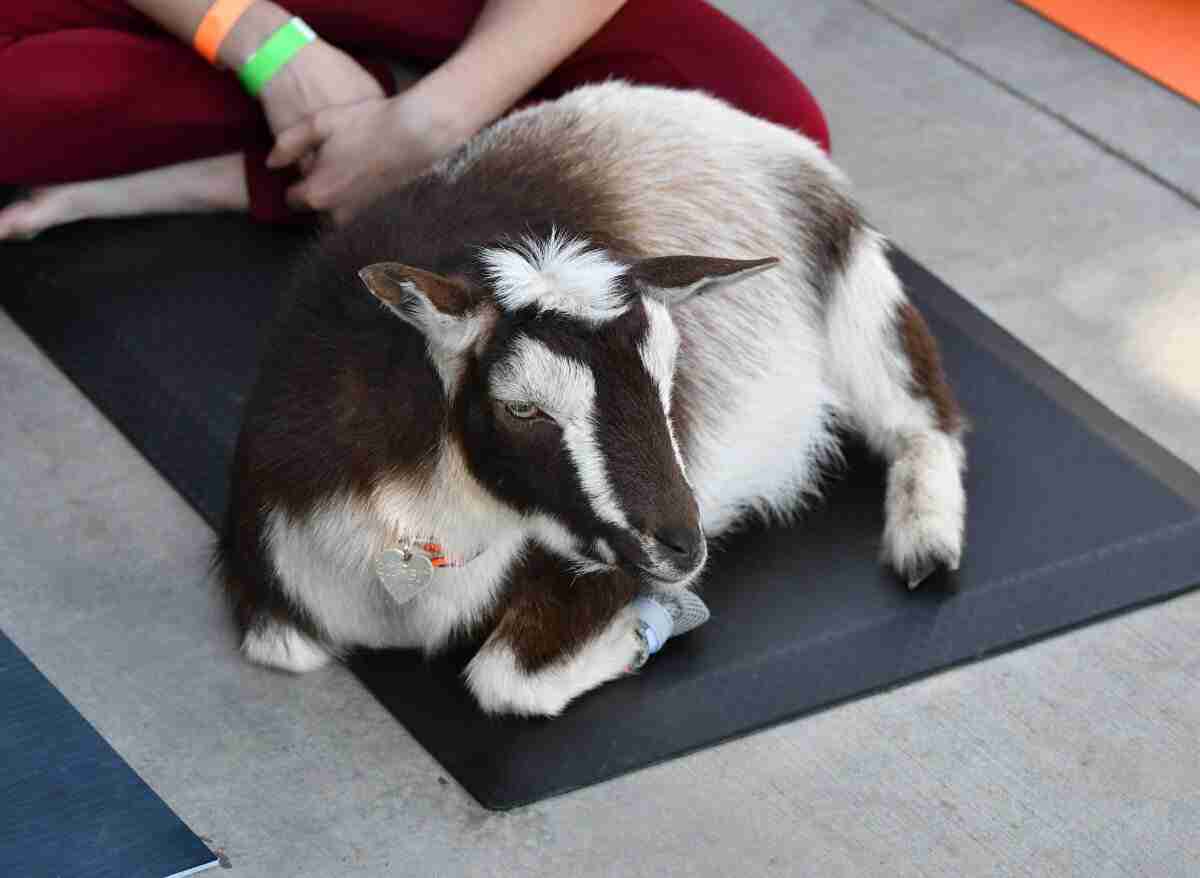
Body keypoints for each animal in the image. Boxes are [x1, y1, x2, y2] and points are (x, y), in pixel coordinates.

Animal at [217, 82, 967, 717]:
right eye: (523, 408)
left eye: (668, 378)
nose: (682, 547)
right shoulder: (271, 572)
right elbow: (284, 649)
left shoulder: (599, 564)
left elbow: (504, 679)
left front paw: (651, 626)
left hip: (856, 291)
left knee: (924, 418)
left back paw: (926, 542)